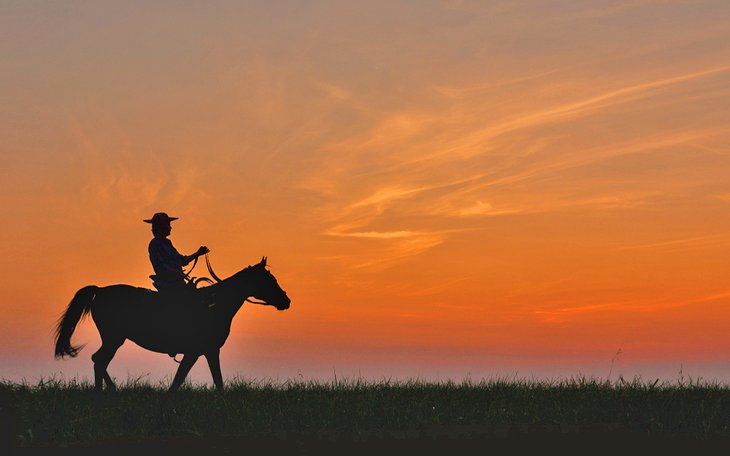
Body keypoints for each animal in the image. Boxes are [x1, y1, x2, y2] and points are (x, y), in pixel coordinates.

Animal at [52, 256, 290, 392]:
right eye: (269, 279)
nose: (286, 301)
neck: (215, 303)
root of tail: (100, 290)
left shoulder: (206, 351)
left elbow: (199, 379)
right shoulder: (201, 351)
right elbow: (190, 379)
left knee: (98, 361)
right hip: (114, 339)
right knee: (100, 361)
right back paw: (108, 392)